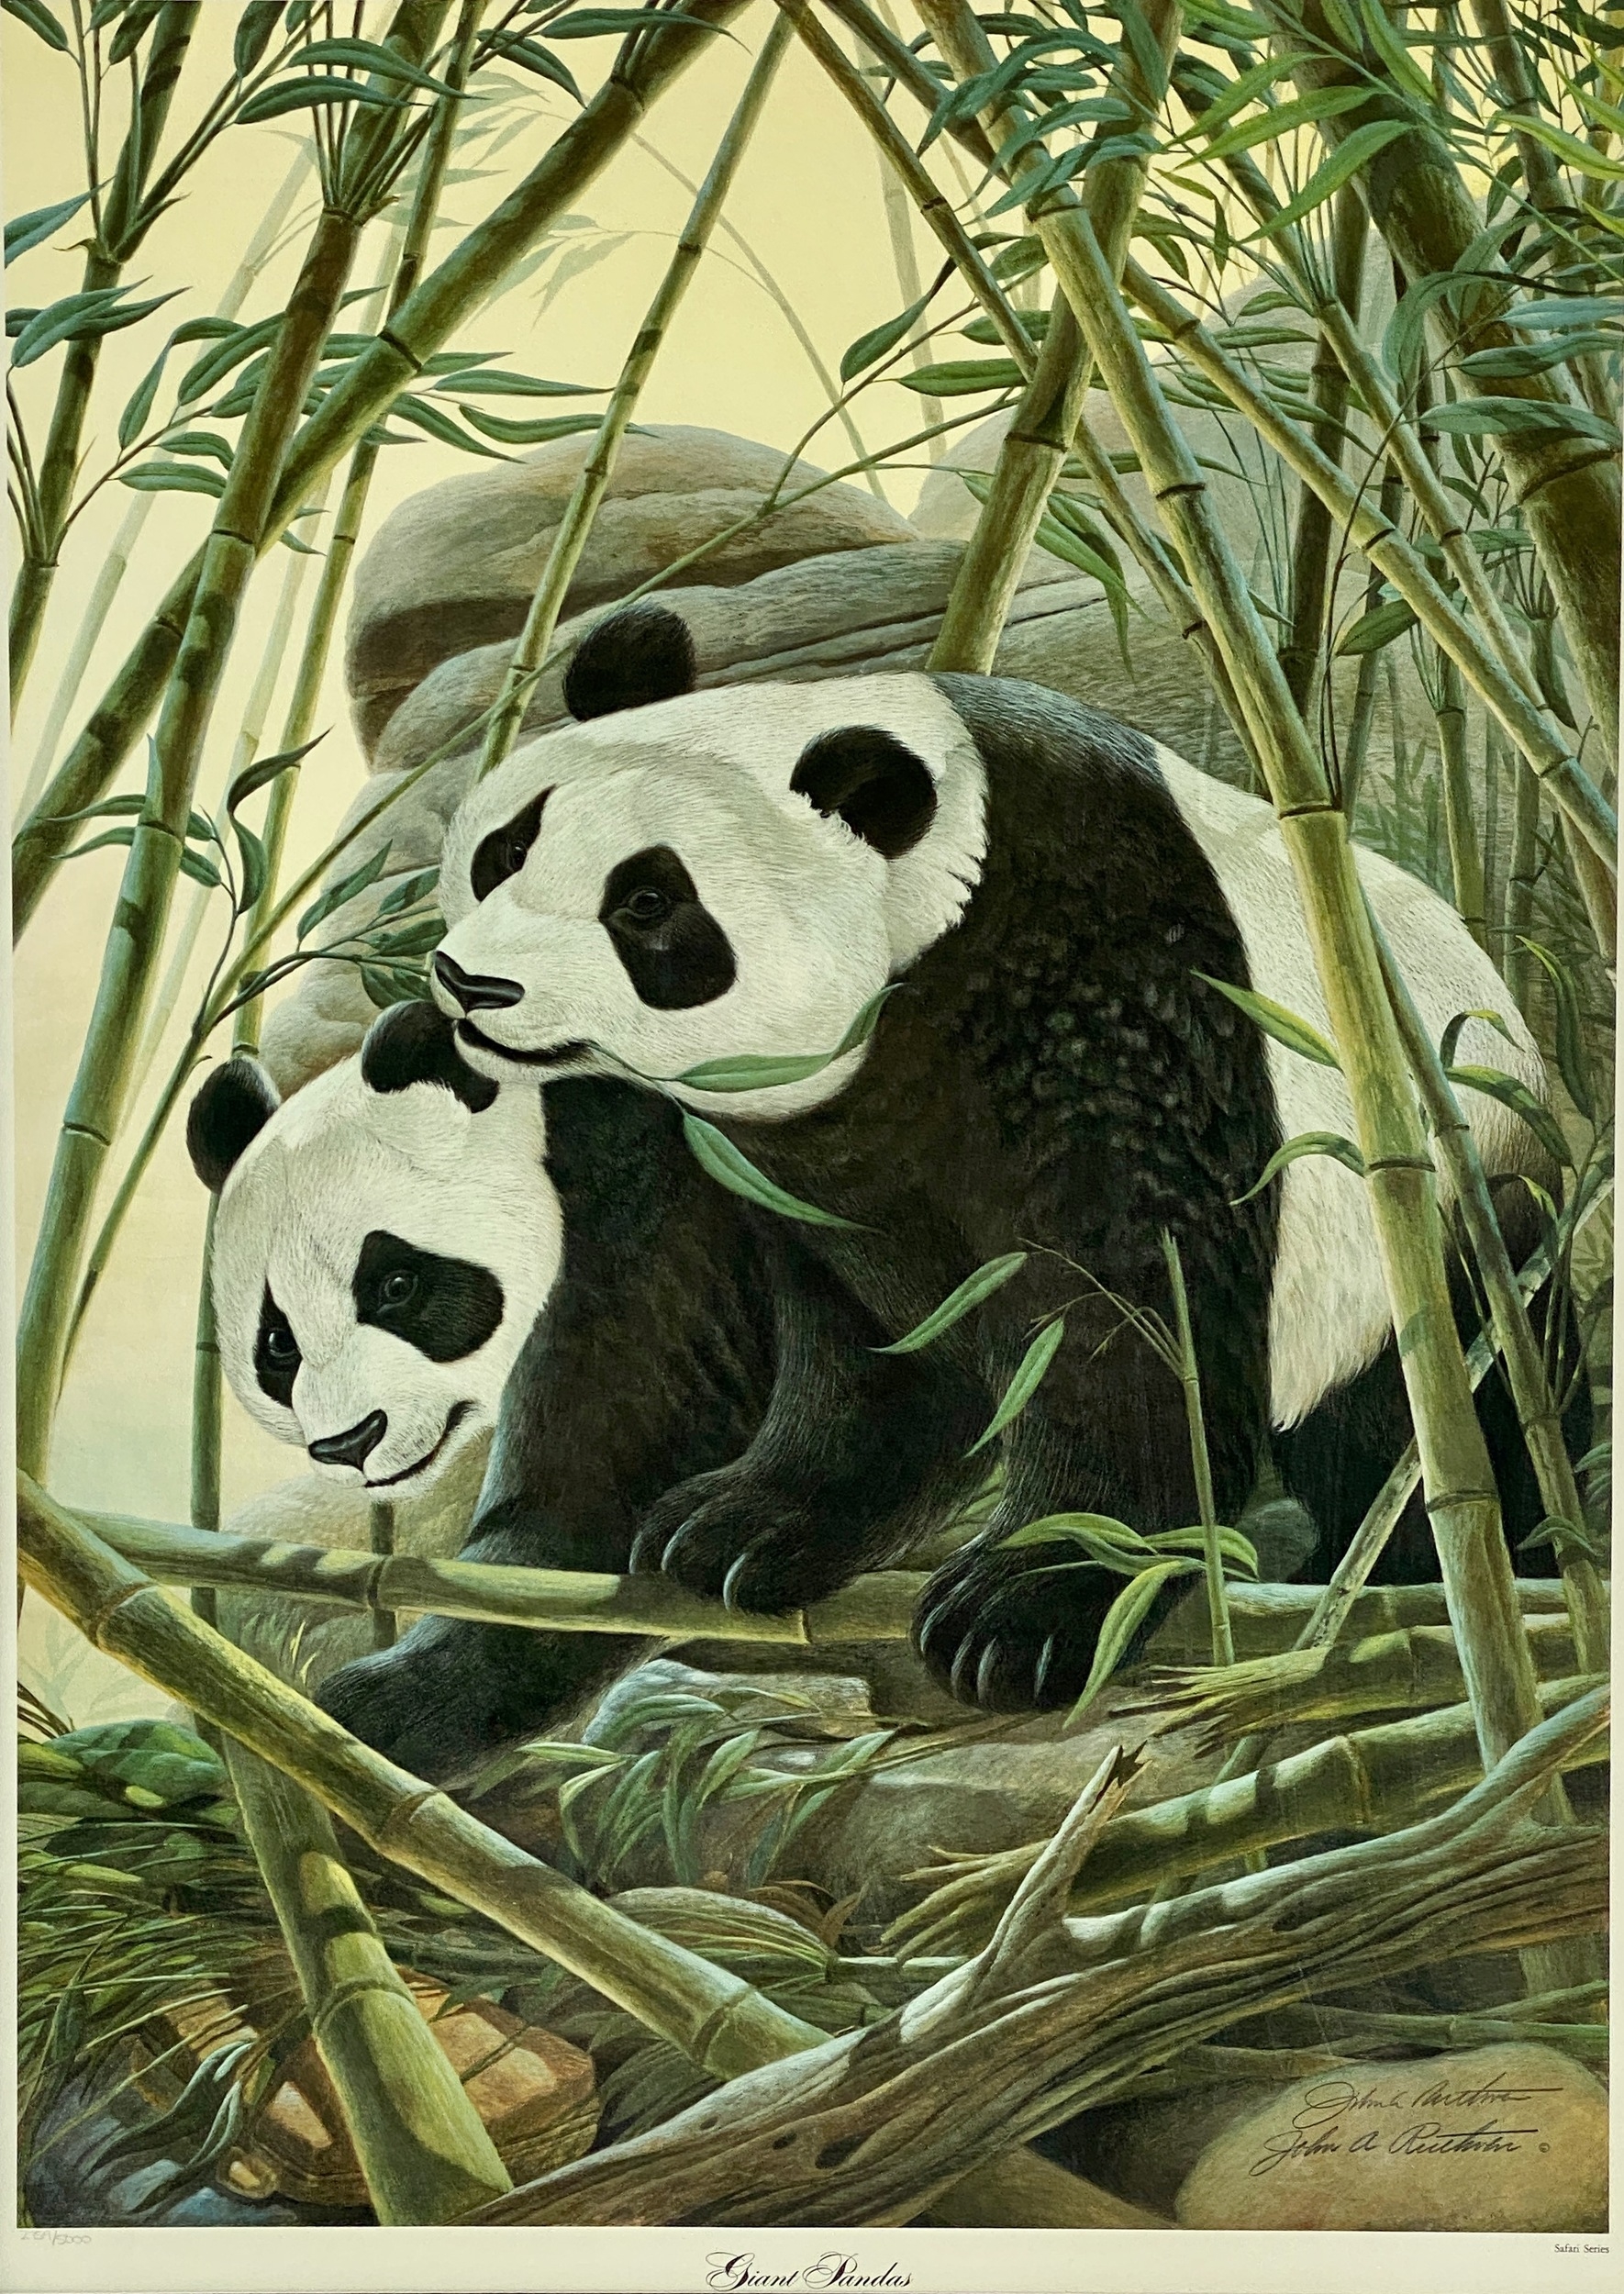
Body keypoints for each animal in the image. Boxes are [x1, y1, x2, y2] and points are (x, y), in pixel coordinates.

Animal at [188, 998, 985, 1777]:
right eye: (277, 1344)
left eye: (396, 1285)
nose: (352, 1442)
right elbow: (609, 1473)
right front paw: (398, 1704)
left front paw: (751, 1531)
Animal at [423, 600, 1580, 1715]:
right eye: (506, 852)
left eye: (647, 903)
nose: (472, 986)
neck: (940, 905)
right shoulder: (766, 1137)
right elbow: (821, 1343)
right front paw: (739, 1525)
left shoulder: (1115, 989)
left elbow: (1133, 1309)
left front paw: (1026, 1606)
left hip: (1437, 1229)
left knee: (1429, 1416)